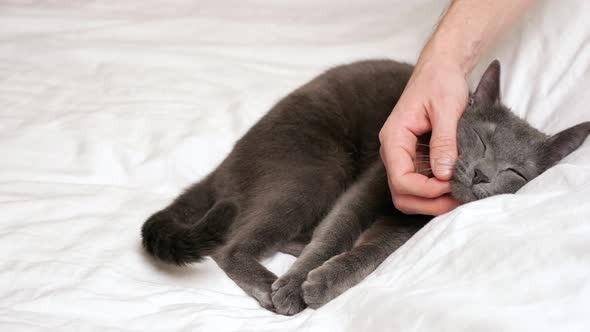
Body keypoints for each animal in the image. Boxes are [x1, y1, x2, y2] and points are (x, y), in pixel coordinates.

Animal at [142, 59, 590, 316]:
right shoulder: (376, 180)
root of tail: (226, 164)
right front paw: (295, 285)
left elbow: (371, 252)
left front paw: (322, 281)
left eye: (515, 173)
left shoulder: (411, 223)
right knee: (230, 247)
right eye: (481, 138)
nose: (481, 174)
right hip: (317, 170)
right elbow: (337, 230)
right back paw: (270, 284)